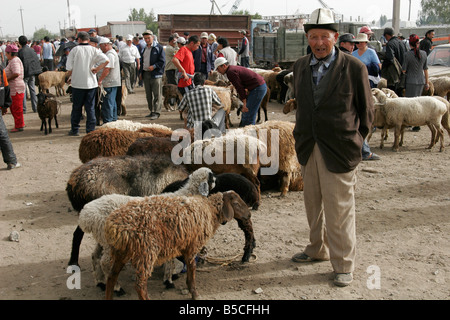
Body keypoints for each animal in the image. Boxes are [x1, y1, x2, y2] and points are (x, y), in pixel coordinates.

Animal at [76, 168, 217, 296]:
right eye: (211, 177)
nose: (216, 179)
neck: (186, 195)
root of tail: (86, 215)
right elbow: (170, 261)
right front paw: (168, 280)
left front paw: (168, 278)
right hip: (107, 242)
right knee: (105, 263)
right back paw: (117, 288)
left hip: (102, 239)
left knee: (95, 256)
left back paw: (100, 282)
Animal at [103, 191, 251, 302]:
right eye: (236, 203)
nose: (249, 214)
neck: (209, 210)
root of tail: (115, 227)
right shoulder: (192, 246)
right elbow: (192, 268)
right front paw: (194, 293)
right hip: (146, 252)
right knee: (139, 284)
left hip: (121, 252)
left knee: (111, 276)